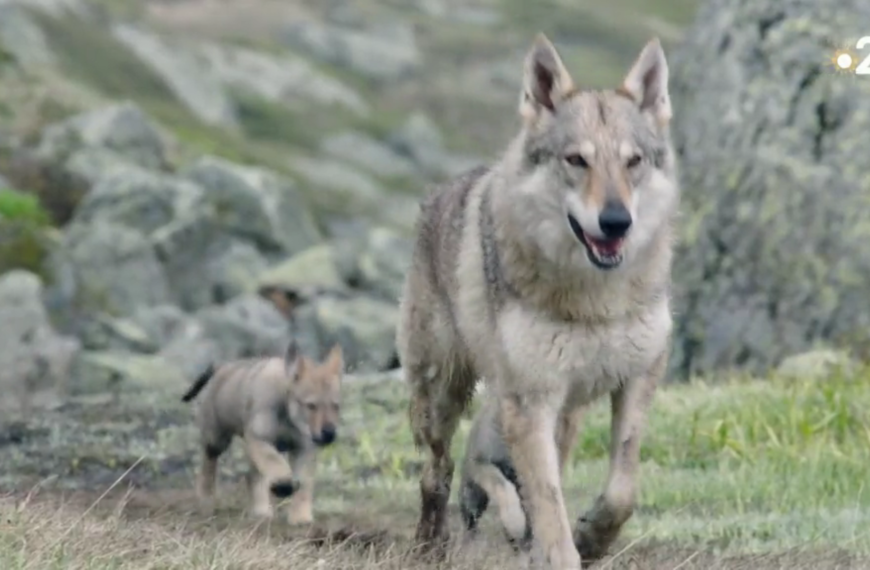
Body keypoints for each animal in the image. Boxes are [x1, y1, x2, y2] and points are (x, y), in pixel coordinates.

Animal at [396, 33, 680, 564]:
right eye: (577, 160)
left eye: (632, 162)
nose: (616, 221)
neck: (596, 301)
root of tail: (442, 190)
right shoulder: (531, 402)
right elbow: (547, 504)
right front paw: (561, 551)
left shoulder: (638, 377)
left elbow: (621, 489)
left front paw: (592, 536)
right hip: (442, 397)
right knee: (437, 472)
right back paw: (430, 544)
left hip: (565, 413)